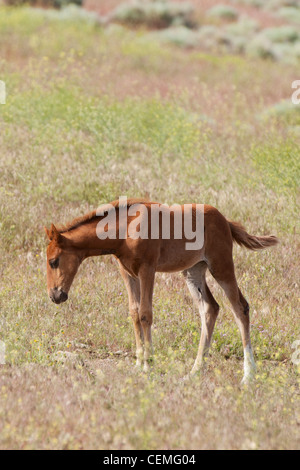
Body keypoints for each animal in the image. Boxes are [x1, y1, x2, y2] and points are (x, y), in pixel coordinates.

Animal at [43, 196, 278, 384]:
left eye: (53, 261)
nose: (55, 295)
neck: (125, 229)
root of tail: (226, 222)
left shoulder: (148, 269)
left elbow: (145, 314)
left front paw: (148, 365)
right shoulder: (127, 272)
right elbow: (134, 312)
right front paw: (138, 364)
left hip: (221, 266)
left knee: (240, 308)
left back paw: (248, 375)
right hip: (193, 271)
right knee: (210, 308)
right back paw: (195, 371)